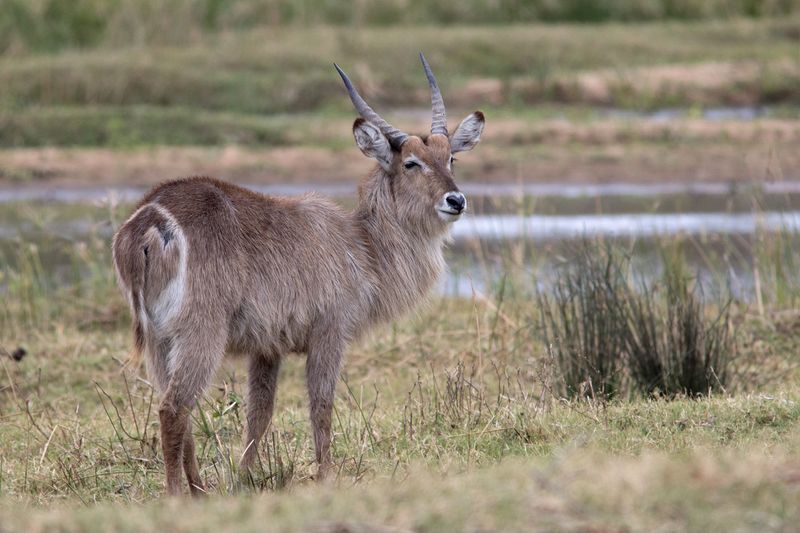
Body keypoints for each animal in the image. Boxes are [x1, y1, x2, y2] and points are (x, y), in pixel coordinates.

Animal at [111, 54, 484, 494]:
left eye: (451, 158)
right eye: (411, 162)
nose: (456, 200)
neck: (363, 245)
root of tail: (150, 217)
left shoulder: (266, 347)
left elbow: (260, 412)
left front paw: (244, 476)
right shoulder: (330, 331)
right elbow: (321, 405)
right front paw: (326, 477)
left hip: (159, 340)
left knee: (176, 408)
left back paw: (201, 490)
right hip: (201, 331)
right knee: (173, 407)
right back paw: (178, 496)